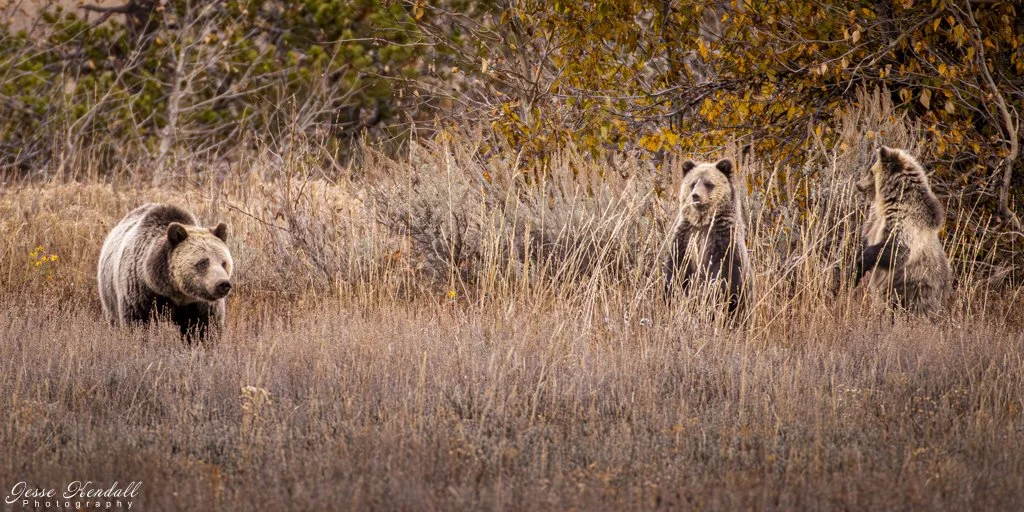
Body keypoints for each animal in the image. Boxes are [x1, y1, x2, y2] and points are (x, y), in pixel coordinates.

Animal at [98, 203, 233, 339]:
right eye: (203, 262)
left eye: (224, 263)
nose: (223, 284)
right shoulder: (141, 294)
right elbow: (138, 323)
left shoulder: (200, 304)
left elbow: (204, 329)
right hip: (109, 295)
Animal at [664, 158, 753, 318]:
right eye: (693, 183)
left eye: (708, 183)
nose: (695, 196)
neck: (702, 223)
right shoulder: (685, 237)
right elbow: (676, 267)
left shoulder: (722, 239)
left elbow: (723, 273)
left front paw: (709, 295)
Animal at [854, 146, 951, 317]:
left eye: (871, 172)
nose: (859, 185)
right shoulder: (875, 219)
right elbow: (865, 237)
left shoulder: (905, 223)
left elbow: (898, 250)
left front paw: (862, 261)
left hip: (916, 289)